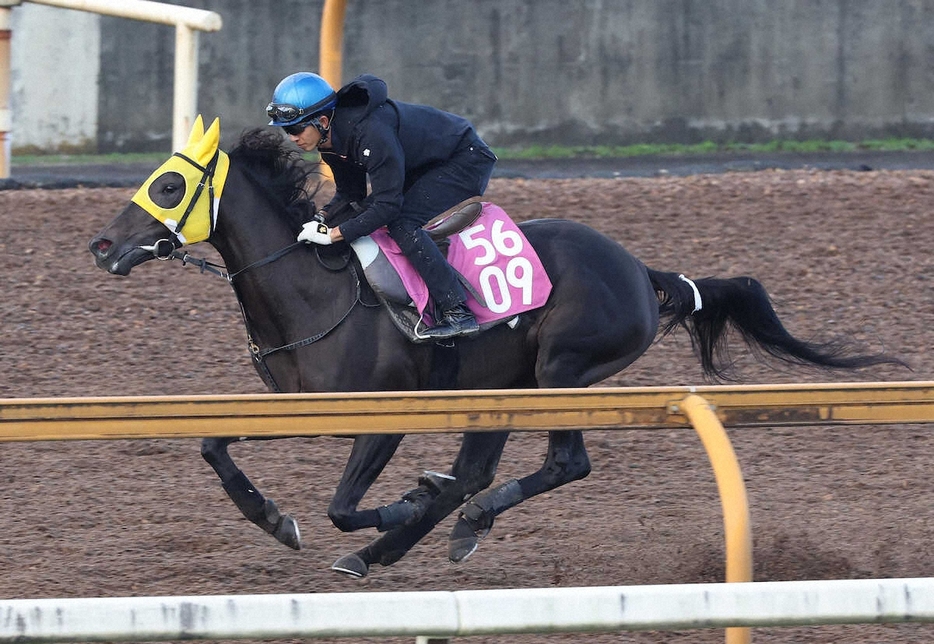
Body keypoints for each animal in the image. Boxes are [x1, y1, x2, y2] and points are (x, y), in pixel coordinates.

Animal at [91, 115, 904, 580]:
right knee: (479, 472)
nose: (102, 246)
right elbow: (213, 446)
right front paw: (273, 518)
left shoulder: (382, 416)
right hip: (504, 383)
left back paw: (442, 523)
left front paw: (398, 503)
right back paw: (421, 535)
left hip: (561, 370)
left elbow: (344, 506)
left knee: (558, 465)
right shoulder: (296, 406)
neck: (312, 291)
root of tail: (641, 270)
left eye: (168, 185)